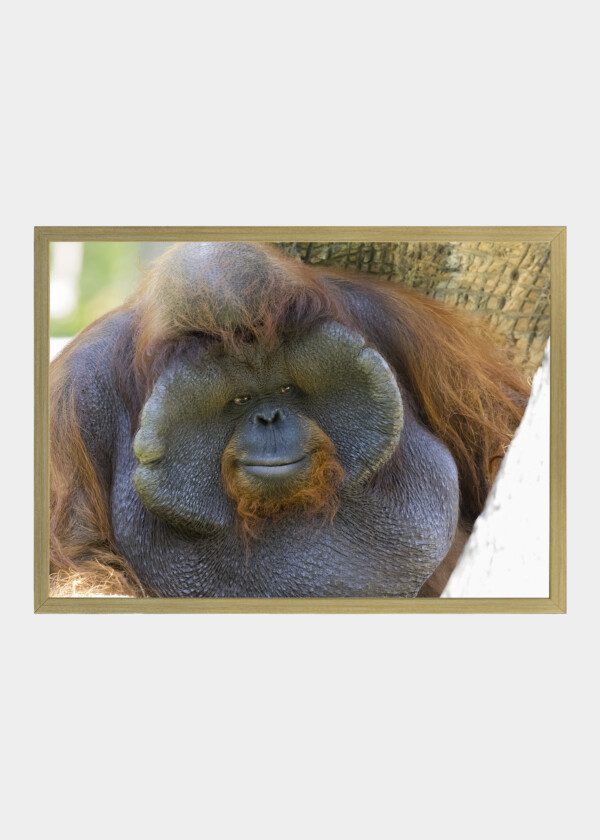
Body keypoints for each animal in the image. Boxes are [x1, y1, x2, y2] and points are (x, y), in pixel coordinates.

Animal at [49, 242, 529, 597]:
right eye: (240, 399)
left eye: (284, 390)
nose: (269, 417)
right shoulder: (74, 398)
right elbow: (78, 564)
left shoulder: (406, 327)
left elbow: (500, 434)